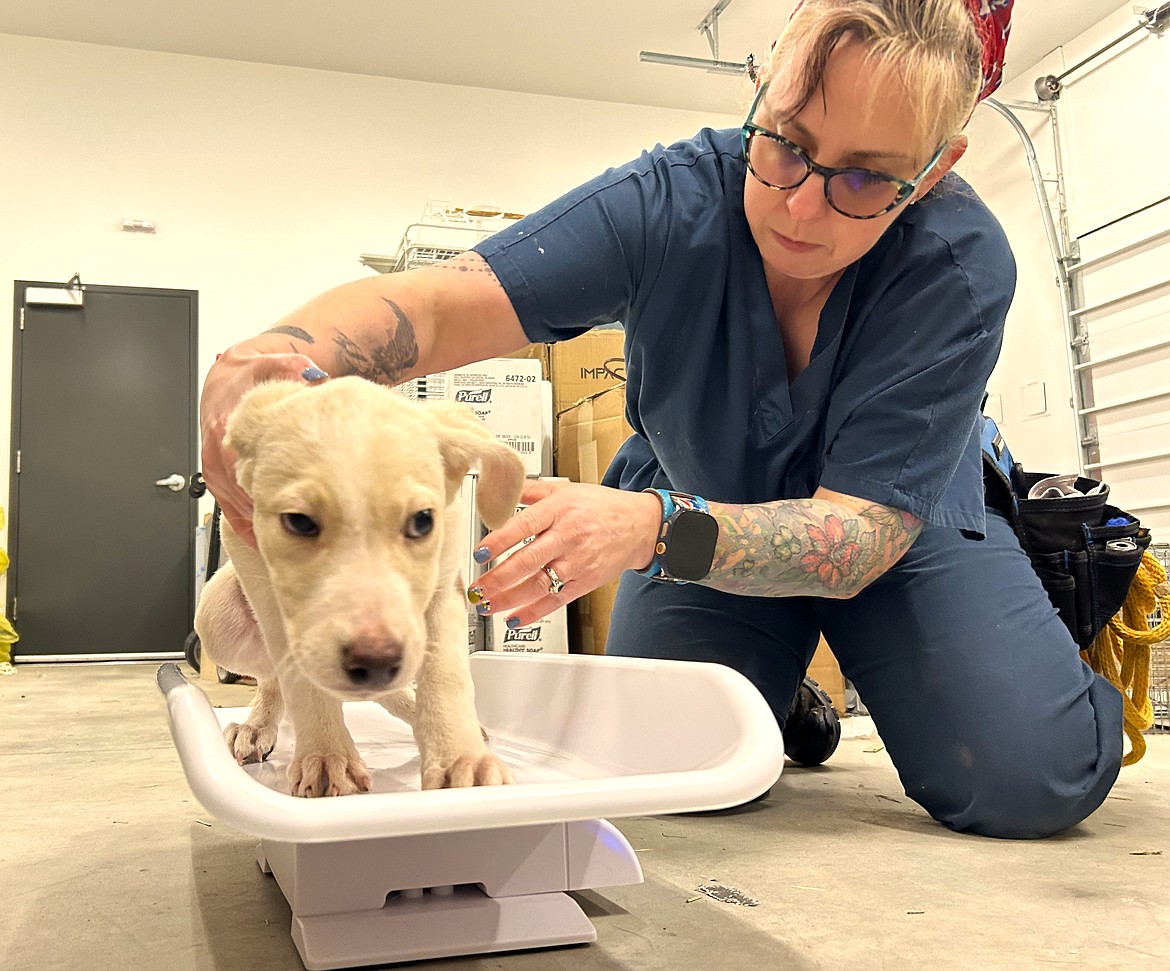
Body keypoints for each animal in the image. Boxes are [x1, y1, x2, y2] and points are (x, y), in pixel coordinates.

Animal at [194, 376, 524, 795]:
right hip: (215, 621)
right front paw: (326, 755)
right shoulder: (263, 581)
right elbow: (299, 676)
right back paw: (257, 727)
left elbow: (446, 672)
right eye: (299, 521)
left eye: (422, 520)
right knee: (271, 677)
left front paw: (461, 760)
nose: (376, 662)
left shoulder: (445, 582)